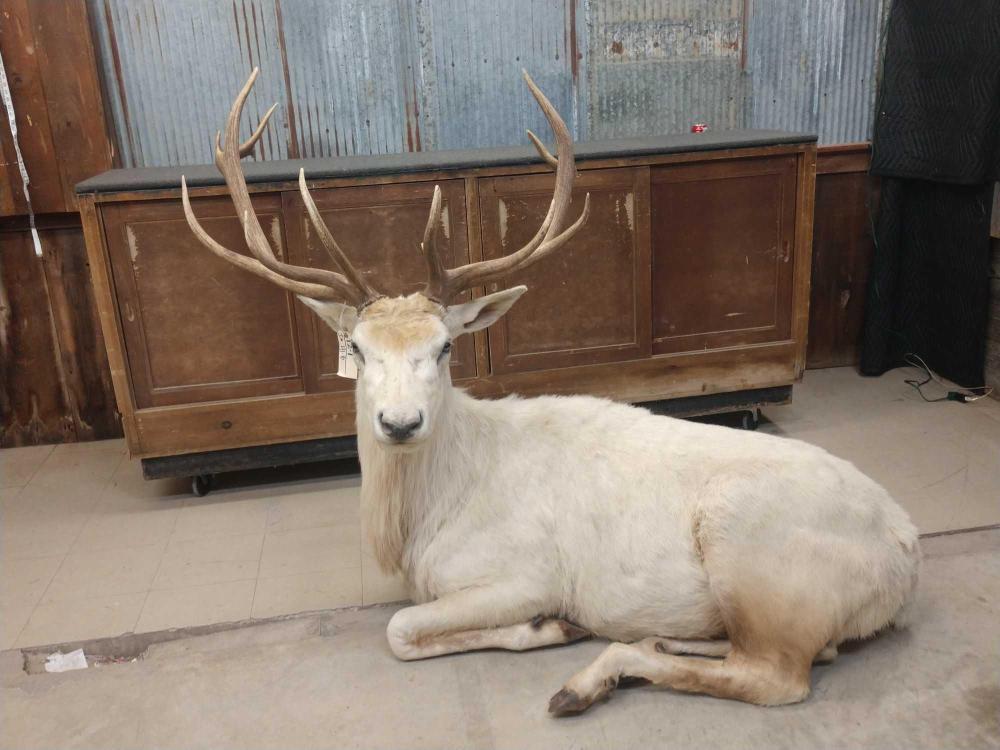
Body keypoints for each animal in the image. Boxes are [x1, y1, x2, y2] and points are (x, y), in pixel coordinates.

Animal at [181, 67, 921, 714]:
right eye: (358, 350)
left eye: (444, 347)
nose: (399, 422)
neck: (420, 526)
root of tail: (906, 550)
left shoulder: (524, 571)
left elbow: (400, 630)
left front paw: (549, 626)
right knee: (798, 653)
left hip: (752, 548)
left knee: (778, 674)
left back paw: (586, 679)